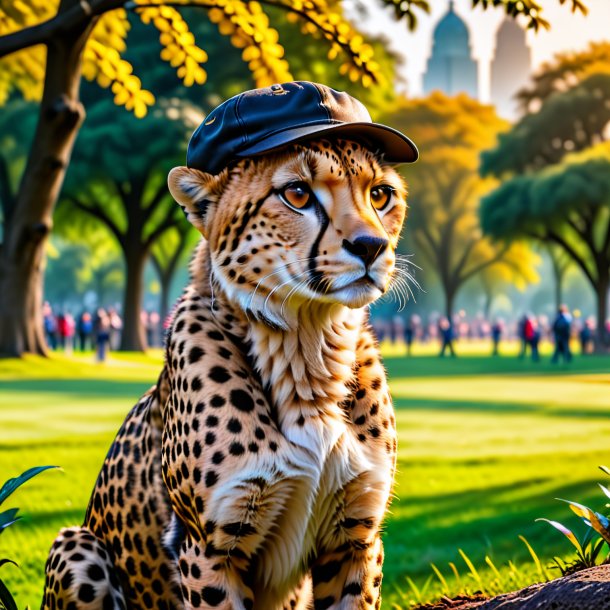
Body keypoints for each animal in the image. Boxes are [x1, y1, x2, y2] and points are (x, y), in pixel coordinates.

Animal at [42, 86, 410, 608]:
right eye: (297, 194)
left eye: (381, 194)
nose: (371, 246)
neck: (309, 352)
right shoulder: (208, 548)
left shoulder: (356, 538)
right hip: (76, 544)